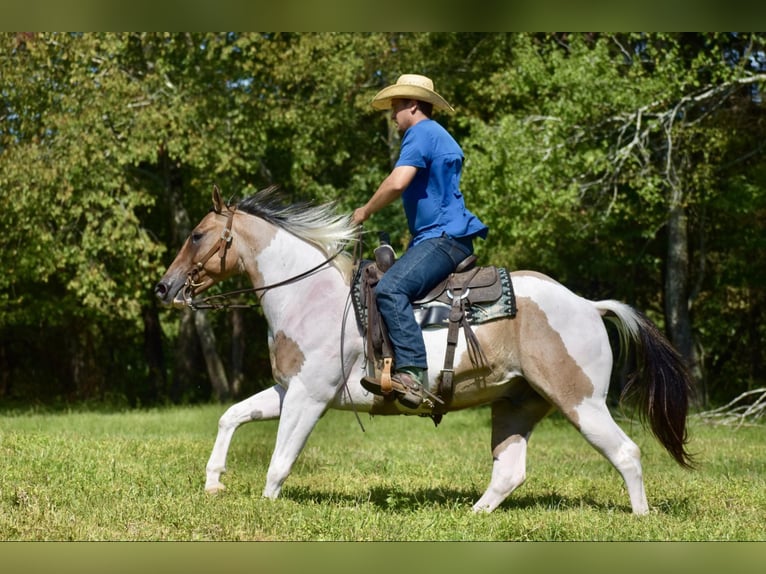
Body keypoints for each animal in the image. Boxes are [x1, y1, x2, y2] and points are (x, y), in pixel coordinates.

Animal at [156, 186, 696, 516]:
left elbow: (280, 461)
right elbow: (231, 416)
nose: (165, 288)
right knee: (509, 472)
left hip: (580, 401)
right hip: (517, 403)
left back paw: (640, 517)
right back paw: (473, 515)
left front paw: (267, 506)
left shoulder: (310, 397)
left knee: (625, 452)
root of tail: (589, 305)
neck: (309, 295)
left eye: (197, 235)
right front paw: (214, 481)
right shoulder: (289, 390)